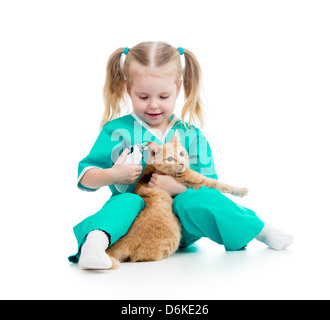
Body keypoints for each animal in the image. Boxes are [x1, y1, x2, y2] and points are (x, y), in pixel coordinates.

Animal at [105, 131, 248, 268]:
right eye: (169, 158)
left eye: (181, 153)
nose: (182, 162)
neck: (152, 169)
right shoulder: (199, 180)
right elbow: (221, 185)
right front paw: (242, 190)